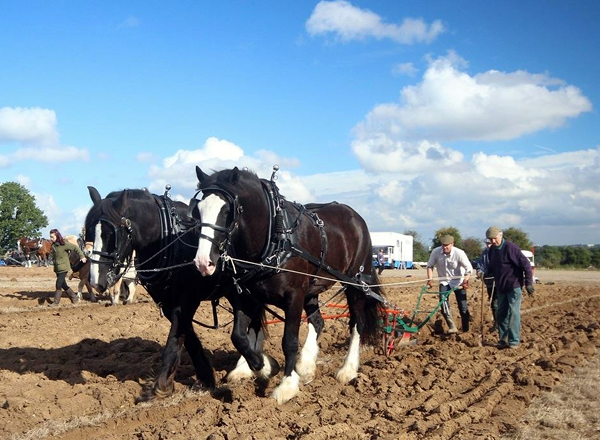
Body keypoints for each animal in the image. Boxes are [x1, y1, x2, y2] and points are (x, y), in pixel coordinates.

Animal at [85, 186, 231, 402]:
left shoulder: (187, 299)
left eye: (111, 234)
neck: (171, 240)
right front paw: (206, 378)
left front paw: (160, 387)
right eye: (89, 232)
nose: (96, 280)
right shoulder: (168, 302)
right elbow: (187, 338)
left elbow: (173, 341)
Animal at [192, 167, 382, 404]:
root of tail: (355, 216)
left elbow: (289, 341)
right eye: (198, 210)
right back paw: (306, 365)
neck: (274, 238)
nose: (203, 262)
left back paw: (347, 369)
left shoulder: (294, 296)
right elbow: (239, 336)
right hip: (312, 288)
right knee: (318, 322)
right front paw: (262, 366)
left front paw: (287, 385)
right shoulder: (247, 297)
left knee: (357, 323)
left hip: (354, 282)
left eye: (227, 211)